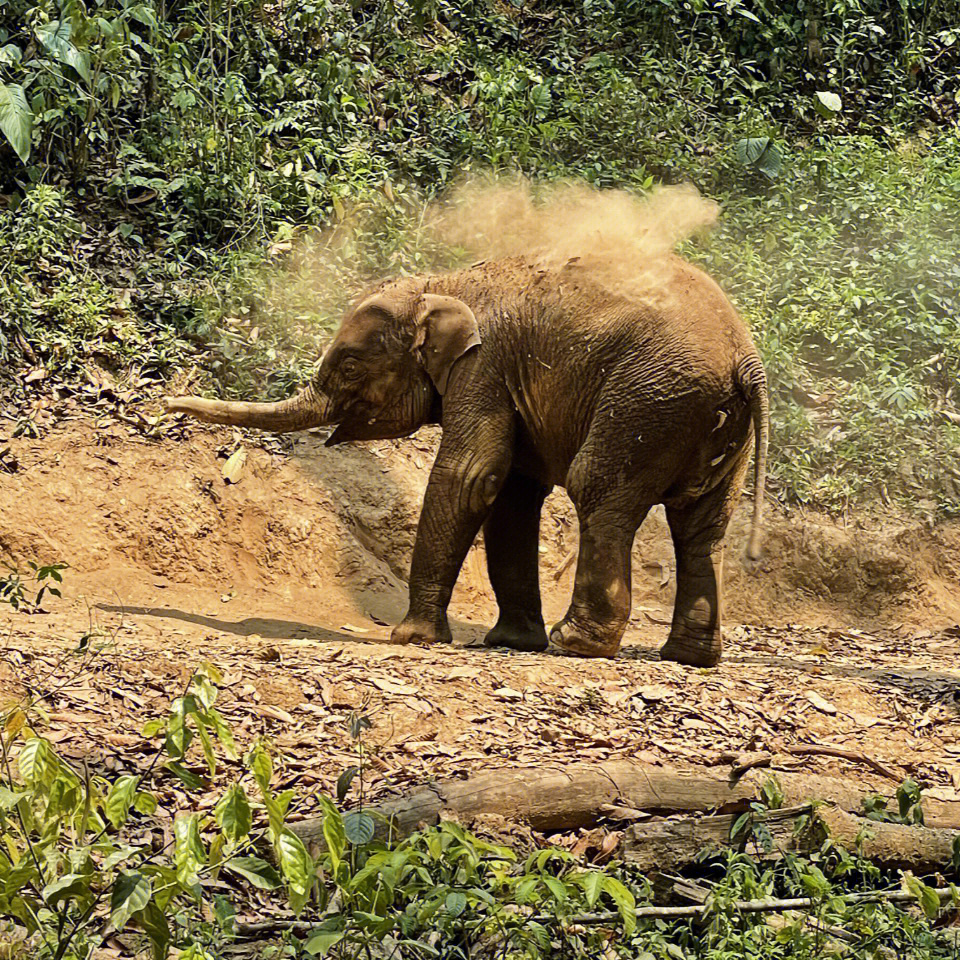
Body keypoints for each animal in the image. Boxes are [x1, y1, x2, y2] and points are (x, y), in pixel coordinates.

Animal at [165, 251, 764, 664]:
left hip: (648, 402)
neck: (439, 284)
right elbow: (513, 496)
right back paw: (686, 656)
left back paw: (576, 644)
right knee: (703, 526)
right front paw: (512, 642)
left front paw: (411, 638)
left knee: (597, 489)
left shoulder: (485, 365)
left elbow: (473, 475)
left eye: (351, 367)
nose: (167, 403)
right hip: (707, 424)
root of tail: (746, 362)